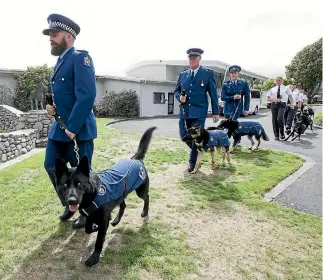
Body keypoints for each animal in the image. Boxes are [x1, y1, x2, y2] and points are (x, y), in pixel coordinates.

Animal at [54, 127, 157, 266]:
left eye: (79, 184)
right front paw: (94, 227)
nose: (71, 201)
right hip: (121, 194)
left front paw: (94, 257)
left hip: (140, 191)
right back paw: (116, 220)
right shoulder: (89, 216)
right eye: (65, 184)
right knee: (123, 205)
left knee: (147, 197)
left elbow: (99, 240)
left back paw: (145, 212)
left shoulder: (102, 219)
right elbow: (87, 229)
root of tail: (135, 159)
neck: (93, 195)